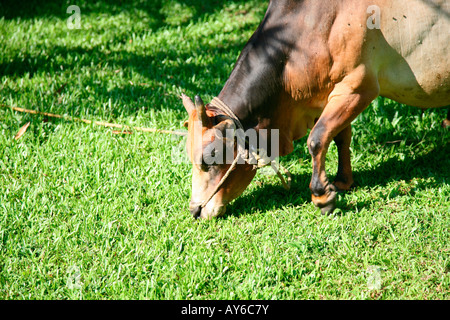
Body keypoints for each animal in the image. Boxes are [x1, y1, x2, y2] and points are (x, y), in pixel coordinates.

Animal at [181, 0, 448, 220]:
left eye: (209, 158)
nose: (194, 210)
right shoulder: (330, 96)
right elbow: (340, 137)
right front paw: (342, 181)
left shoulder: (358, 86)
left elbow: (317, 139)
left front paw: (322, 196)